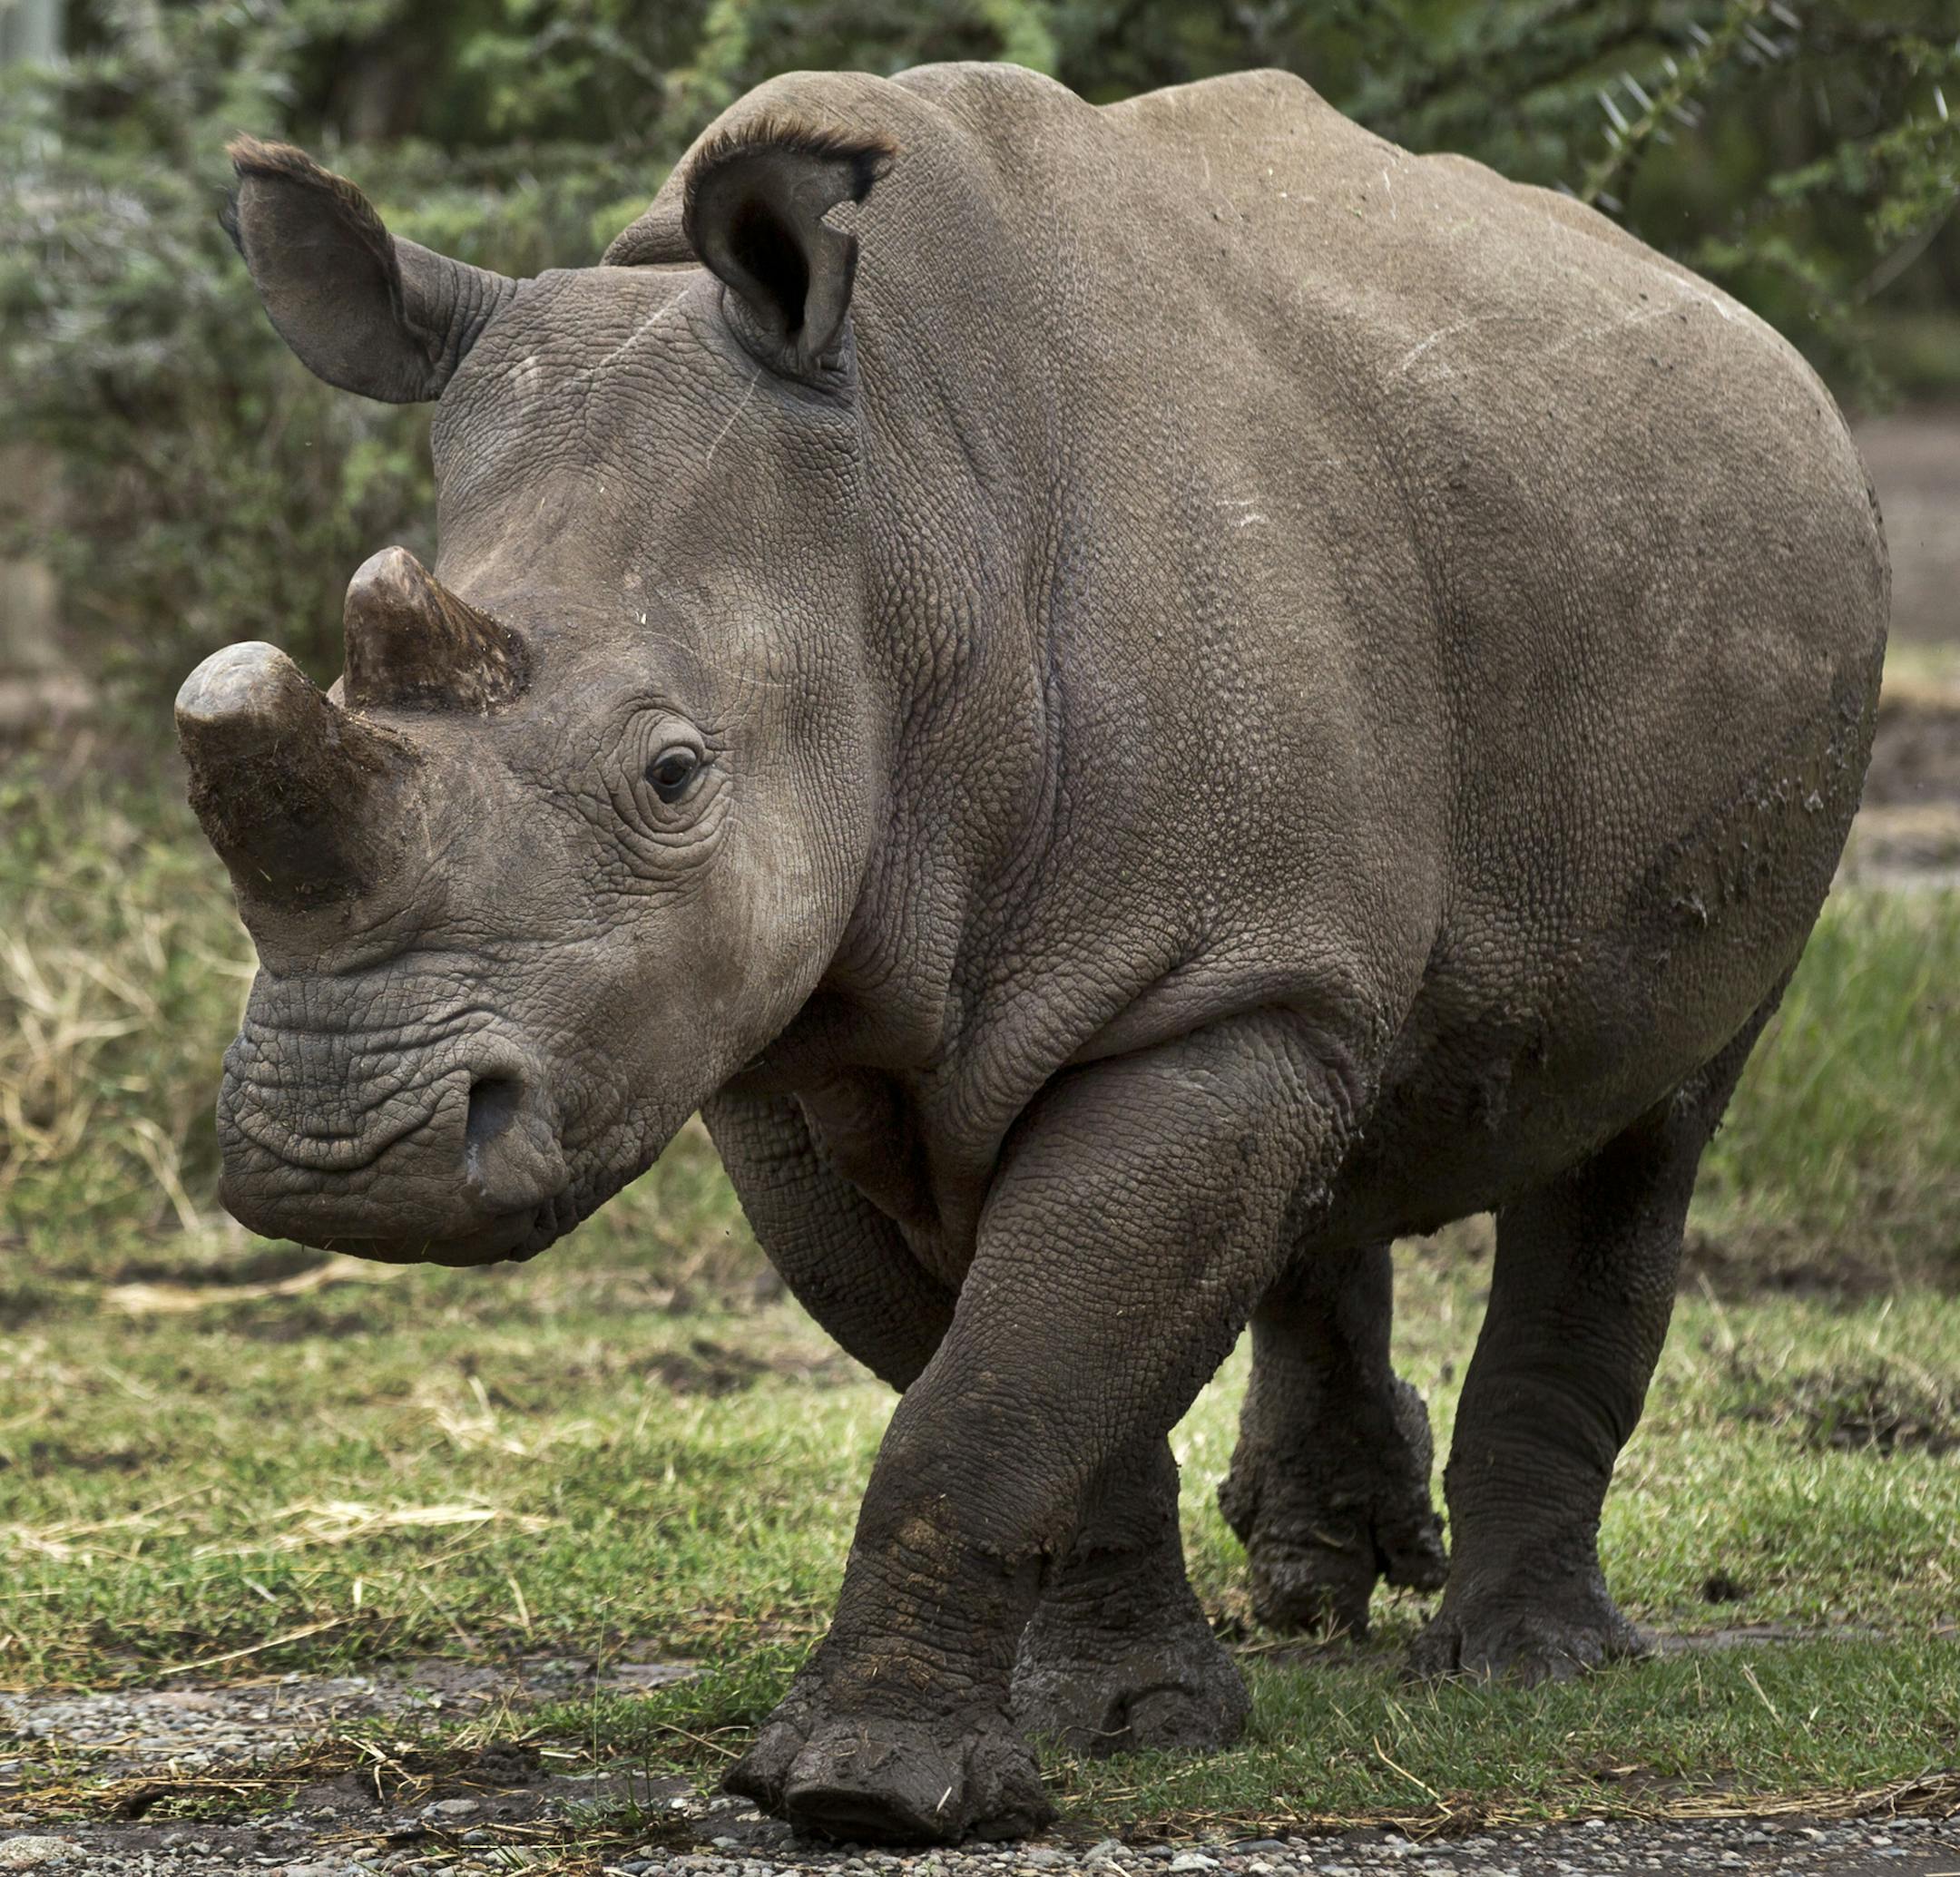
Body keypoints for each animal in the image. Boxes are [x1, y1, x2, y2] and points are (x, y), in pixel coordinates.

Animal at [180, 61, 1886, 1844]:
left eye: (674, 774)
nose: (342, 1150)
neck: (900, 520)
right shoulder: (783, 1054)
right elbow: (1045, 1380)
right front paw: (1124, 1719)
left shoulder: (1198, 989)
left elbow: (996, 1396)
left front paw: (866, 1791)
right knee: (1346, 1096)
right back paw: (1320, 1584)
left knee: (1648, 1123)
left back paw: (1528, 1668)